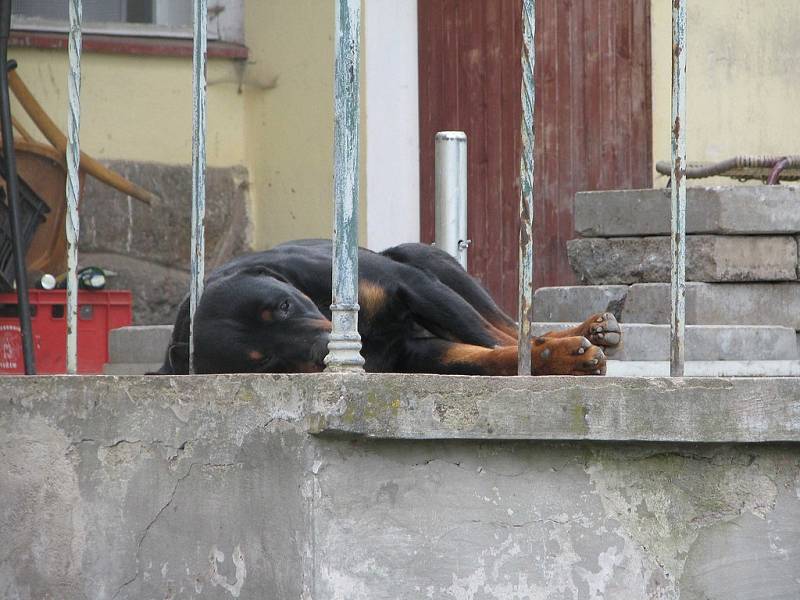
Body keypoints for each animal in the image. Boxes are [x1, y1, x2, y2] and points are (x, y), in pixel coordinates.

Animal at [155, 239, 620, 376]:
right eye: (266, 361)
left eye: (284, 305)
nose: (324, 351)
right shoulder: (411, 355)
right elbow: (485, 356)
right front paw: (557, 357)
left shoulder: (410, 286)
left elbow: (492, 340)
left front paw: (557, 352)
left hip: (426, 260)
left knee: (504, 324)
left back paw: (590, 328)